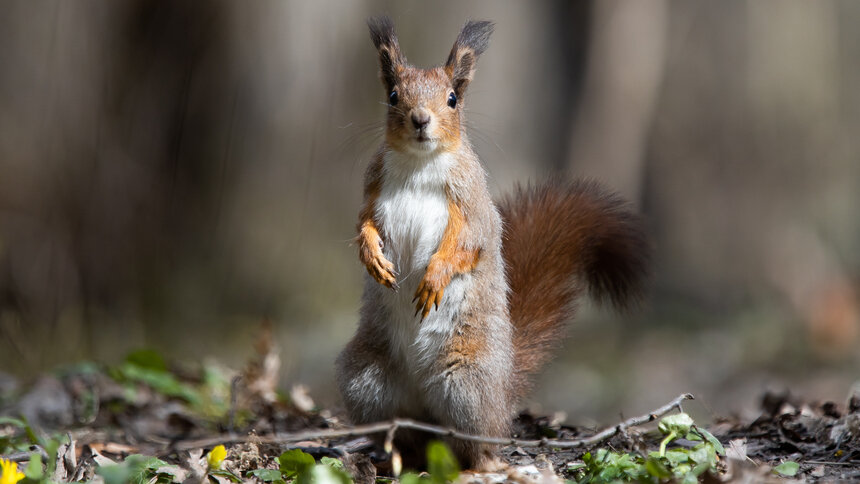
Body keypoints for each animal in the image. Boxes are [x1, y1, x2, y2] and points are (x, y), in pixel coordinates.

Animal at [332, 17, 648, 470]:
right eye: (393, 95)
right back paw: (393, 457)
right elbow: (363, 224)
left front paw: (435, 277)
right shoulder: (373, 188)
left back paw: (482, 465)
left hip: (467, 382)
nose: (420, 119)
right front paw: (371, 256)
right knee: (408, 438)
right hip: (366, 379)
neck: (418, 163)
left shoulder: (472, 203)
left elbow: (469, 242)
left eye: (452, 99)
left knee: (477, 443)